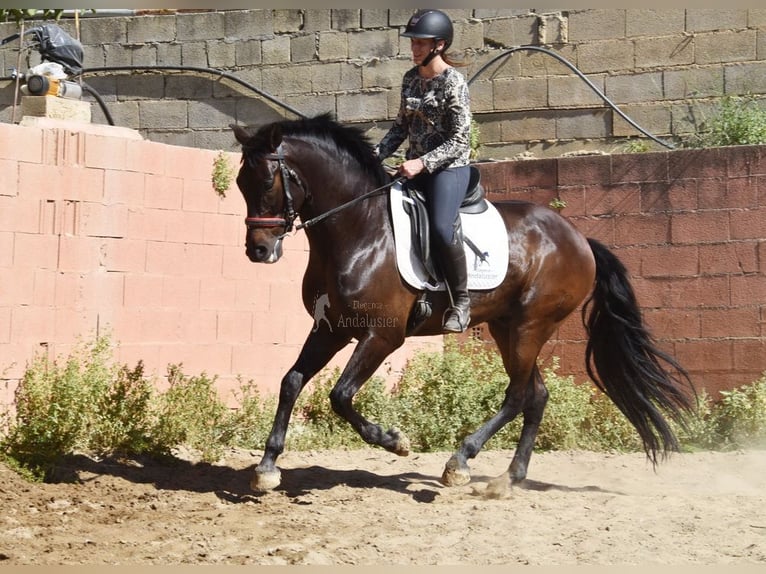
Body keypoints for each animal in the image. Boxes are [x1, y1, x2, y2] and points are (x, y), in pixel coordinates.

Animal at [230, 112, 695, 492]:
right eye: (239, 184)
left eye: (268, 182)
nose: (258, 251)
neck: (359, 230)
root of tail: (580, 240)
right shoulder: (330, 329)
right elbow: (291, 381)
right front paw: (267, 467)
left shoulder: (383, 336)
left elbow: (340, 395)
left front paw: (395, 441)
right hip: (507, 327)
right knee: (537, 394)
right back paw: (509, 477)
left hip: (531, 325)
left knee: (517, 395)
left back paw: (460, 461)